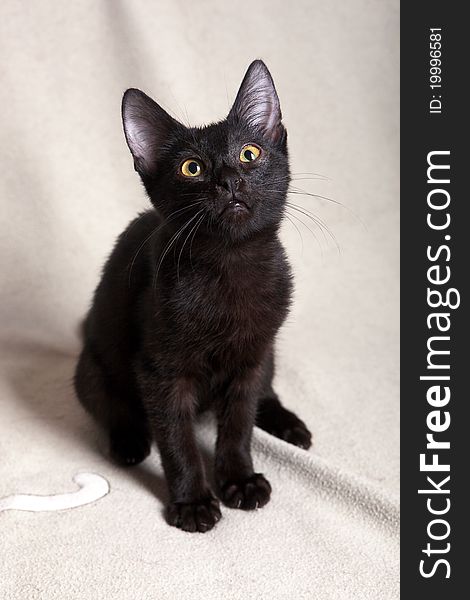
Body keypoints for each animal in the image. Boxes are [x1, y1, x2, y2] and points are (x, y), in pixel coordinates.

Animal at [74, 58, 312, 532]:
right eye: (191, 168)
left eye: (249, 153)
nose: (229, 180)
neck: (231, 266)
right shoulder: (160, 373)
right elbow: (176, 439)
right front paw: (193, 502)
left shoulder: (251, 359)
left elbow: (239, 424)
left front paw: (239, 480)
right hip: (92, 368)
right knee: (111, 406)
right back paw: (129, 441)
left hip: (269, 353)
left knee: (266, 394)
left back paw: (288, 424)